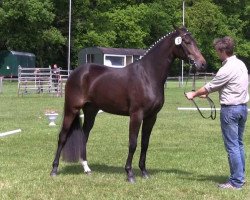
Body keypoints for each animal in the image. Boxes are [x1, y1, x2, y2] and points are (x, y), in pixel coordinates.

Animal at [49, 26, 206, 183]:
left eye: (194, 41)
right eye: (186, 42)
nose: (202, 64)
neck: (148, 75)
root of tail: (76, 73)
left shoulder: (151, 117)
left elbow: (145, 143)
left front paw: (144, 172)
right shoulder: (136, 115)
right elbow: (133, 143)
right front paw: (130, 173)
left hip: (91, 111)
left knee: (84, 135)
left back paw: (86, 168)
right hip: (72, 109)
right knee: (62, 136)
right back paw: (54, 169)